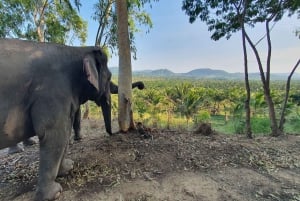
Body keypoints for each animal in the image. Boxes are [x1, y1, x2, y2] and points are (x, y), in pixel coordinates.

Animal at [0, 38, 112, 200]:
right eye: (109, 78)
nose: (111, 134)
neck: (77, 50)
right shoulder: (52, 92)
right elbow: (54, 134)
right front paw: (55, 193)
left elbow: (64, 134)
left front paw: (68, 167)